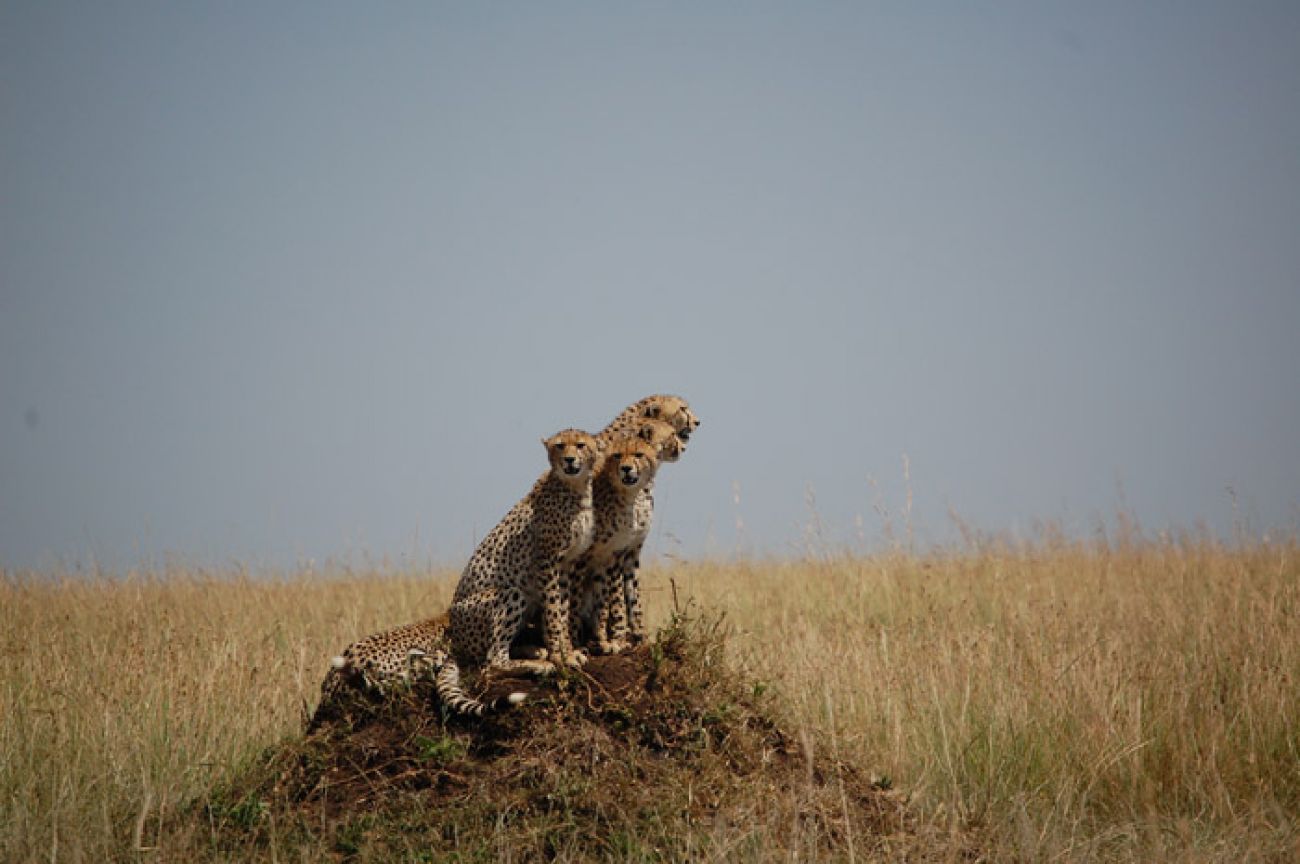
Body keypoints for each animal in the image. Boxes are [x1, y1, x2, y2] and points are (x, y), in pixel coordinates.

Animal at [444, 423, 600, 686]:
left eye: (580, 445)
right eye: (560, 446)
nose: (569, 460)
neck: (576, 489)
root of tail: (453, 635)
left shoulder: (566, 565)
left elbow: (562, 610)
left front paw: (567, 651)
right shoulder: (547, 562)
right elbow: (553, 611)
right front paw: (560, 657)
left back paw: (534, 651)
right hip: (511, 593)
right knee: (492, 662)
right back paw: (538, 665)